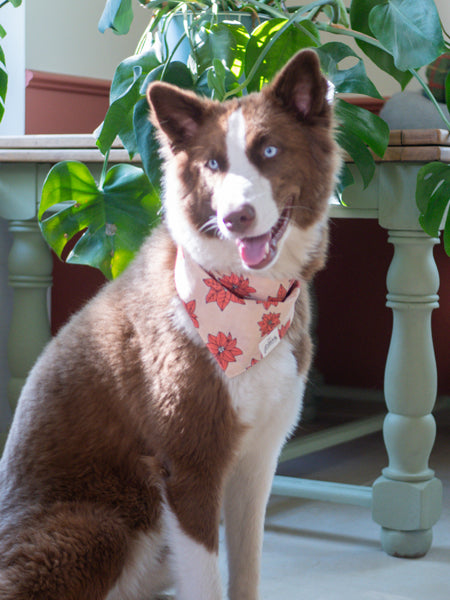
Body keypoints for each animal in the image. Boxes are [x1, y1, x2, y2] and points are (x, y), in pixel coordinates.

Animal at [0, 51, 338, 600]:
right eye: (213, 164)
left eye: (269, 149)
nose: (237, 217)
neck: (247, 300)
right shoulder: (190, 466)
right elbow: (207, 581)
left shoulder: (257, 461)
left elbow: (246, 570)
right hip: (99, 528)